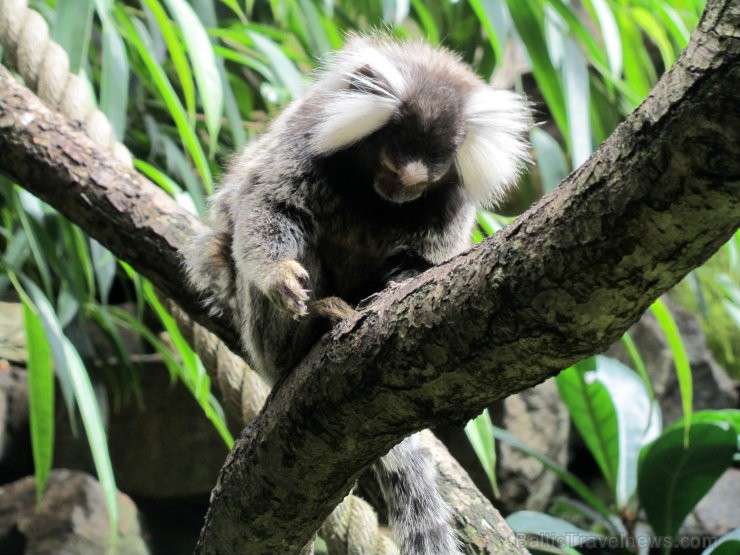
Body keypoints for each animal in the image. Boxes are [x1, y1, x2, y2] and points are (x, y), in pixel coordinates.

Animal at [185, 34, 532, 555]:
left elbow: (423, 263)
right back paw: (307, 332)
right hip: (259, 339)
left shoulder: (449, 204)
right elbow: (268, 205)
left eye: (427, 177)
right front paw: (279, 276)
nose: (400, 190)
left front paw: (397, 286)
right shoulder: (306, 142)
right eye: (390, 161)